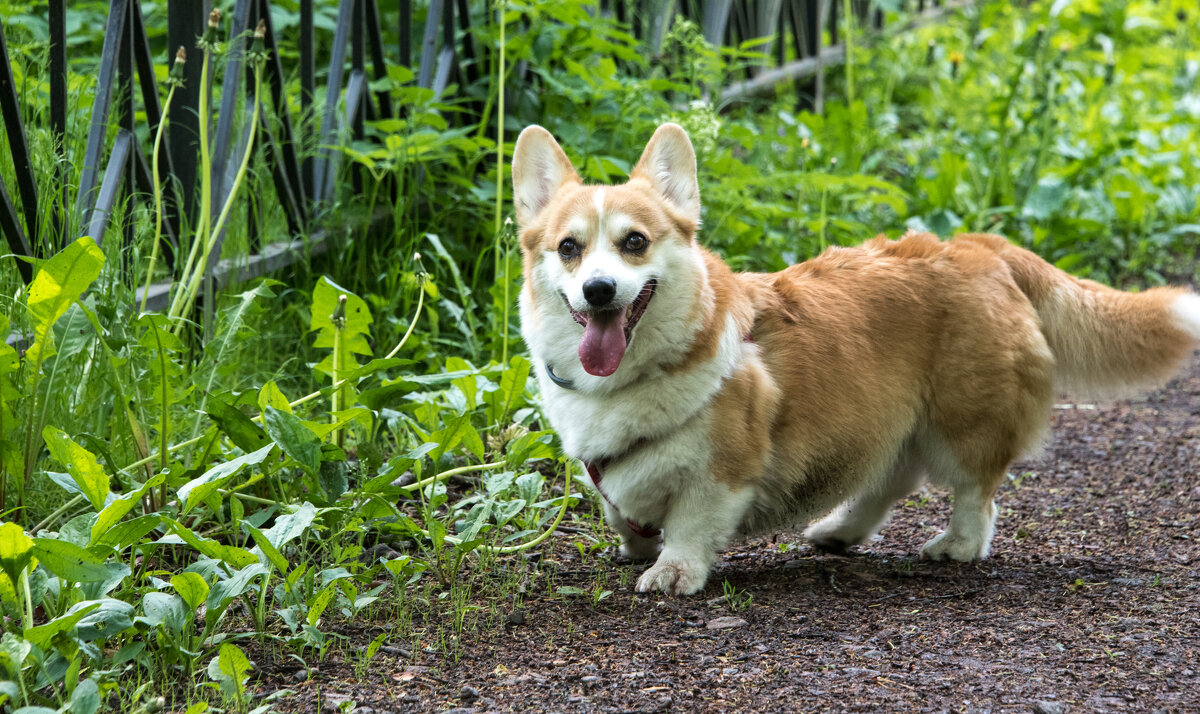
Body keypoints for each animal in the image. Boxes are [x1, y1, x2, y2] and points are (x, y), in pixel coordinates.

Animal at [511, 124, 1200, 597]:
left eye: (634, 242)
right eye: (568, 248)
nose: (599, 290)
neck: (638, 374)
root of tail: (982, 247)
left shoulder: (723, 470)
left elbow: (690, 522)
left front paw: (672, 569)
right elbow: (619, 505)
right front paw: (635, 542)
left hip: (962, 422)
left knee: (975, 491)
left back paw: (955, 545)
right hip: (888, 417)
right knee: (892, 476)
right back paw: (839, 531)